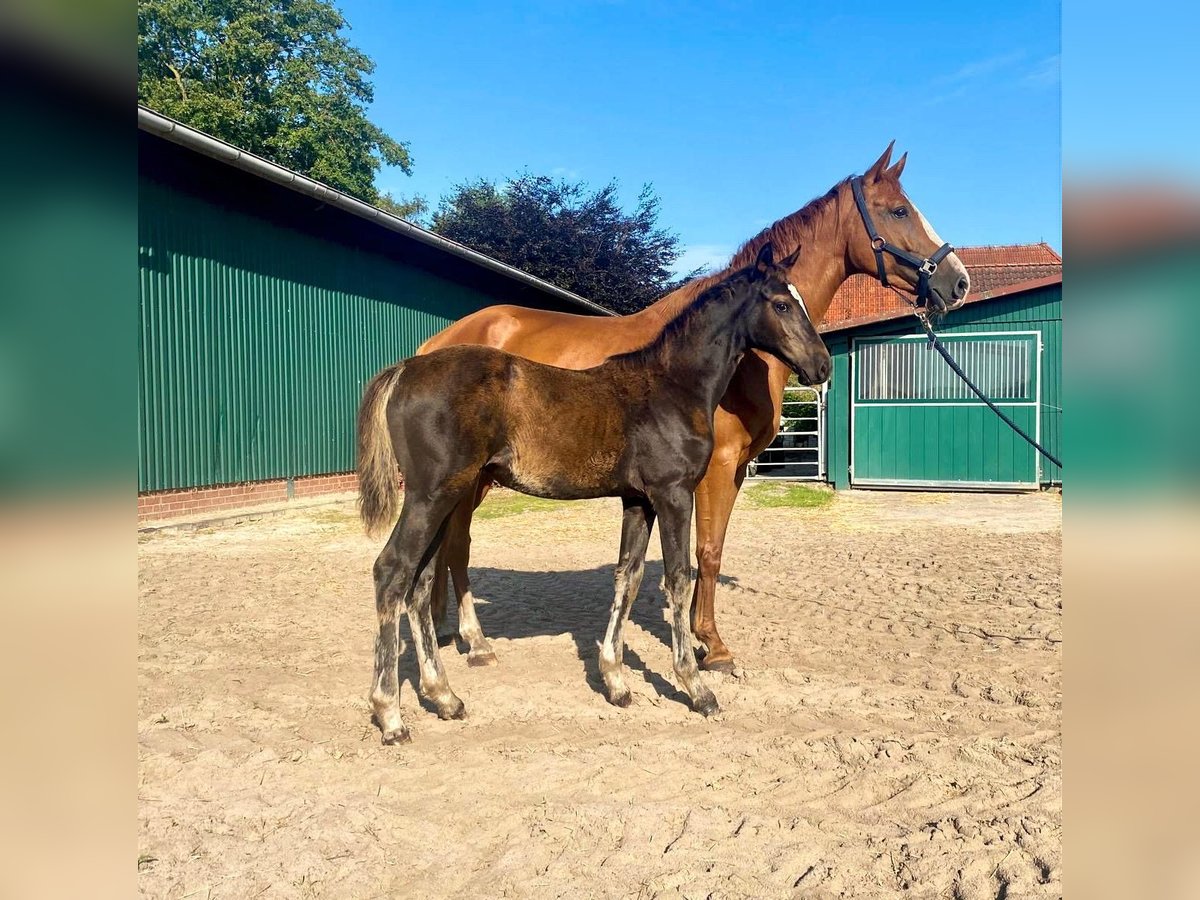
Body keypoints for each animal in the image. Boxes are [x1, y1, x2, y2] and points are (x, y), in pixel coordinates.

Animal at [357, 243, 835, 744]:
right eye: (781, 304)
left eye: (800, 300)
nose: (822, 365)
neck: (671, 385)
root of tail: (405, 368)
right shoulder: (673, 493)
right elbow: (677, 579)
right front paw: (696, 687)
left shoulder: (639, 501)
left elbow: (628, 577)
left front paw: (616, 681)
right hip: (432, 495)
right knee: (392, 571)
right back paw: (391, 714)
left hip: (446, 495)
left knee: (420, 581)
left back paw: (444, 696)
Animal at [417, 144, 969, 672]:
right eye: (899, 210)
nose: (958, 282)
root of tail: (435, 345)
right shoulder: (713, 470)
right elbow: (705, 552)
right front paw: (712, 646)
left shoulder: (734, 470)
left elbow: (708, 552)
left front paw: (700, 638)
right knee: (454, 545)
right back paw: (467, 640)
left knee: (448, 545)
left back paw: (447, 633)